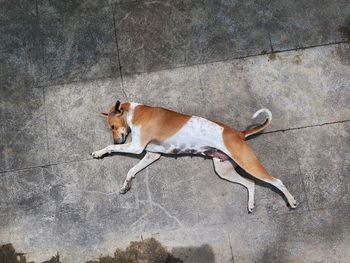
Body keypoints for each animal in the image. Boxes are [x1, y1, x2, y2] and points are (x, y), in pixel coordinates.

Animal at [92, 100, 296, 212]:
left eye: (112, 126)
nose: (118, 140)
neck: (134, 112)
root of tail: (239, 133)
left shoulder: (136, 147)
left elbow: (110, 148)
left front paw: (99, 152)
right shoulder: (152, 154)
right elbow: (132, 170)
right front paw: (126, 184)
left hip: (247, 162)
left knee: (276, 181)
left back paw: (291, 201)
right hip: (223, 170)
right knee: (251, 183)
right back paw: (251, 204)